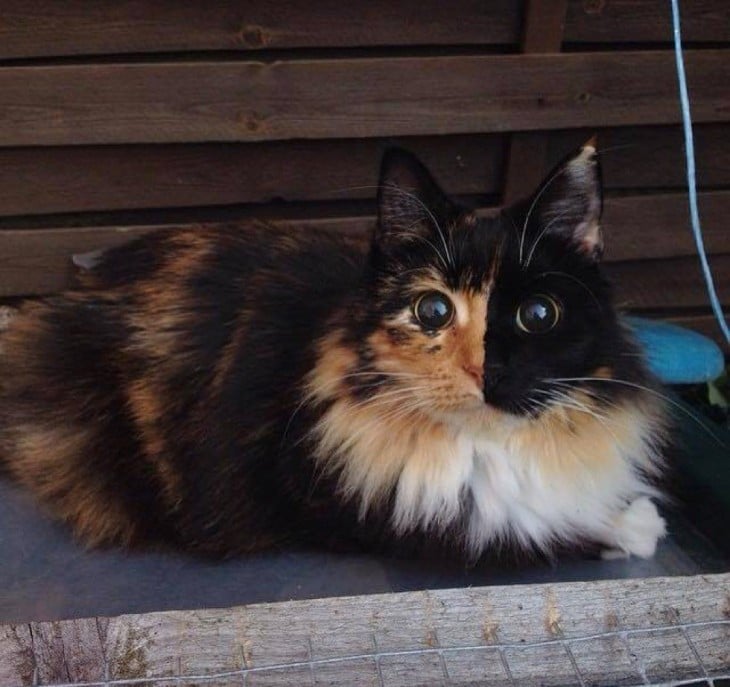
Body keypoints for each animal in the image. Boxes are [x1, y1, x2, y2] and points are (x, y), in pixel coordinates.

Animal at [0, 142, 664, 560]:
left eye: (538, 314)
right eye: (433, 311)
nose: (487, 372)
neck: (485, 446)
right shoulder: (355, 510)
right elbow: (531, 529)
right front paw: (635, 525)